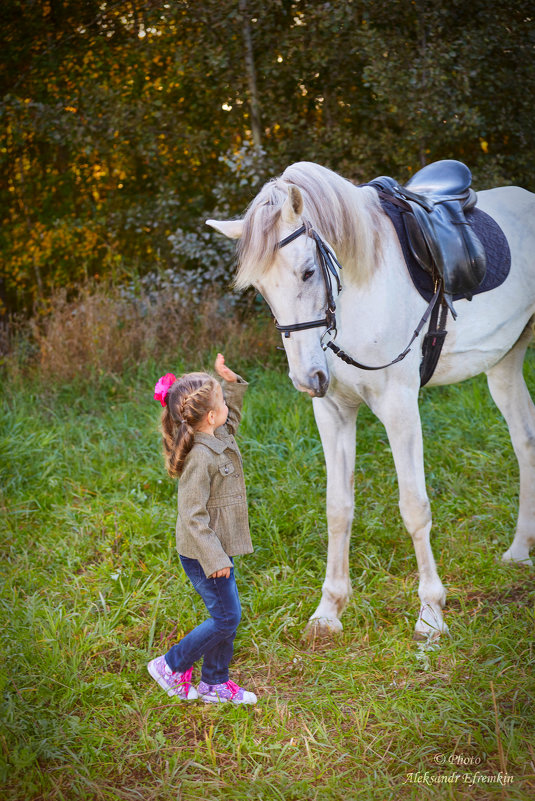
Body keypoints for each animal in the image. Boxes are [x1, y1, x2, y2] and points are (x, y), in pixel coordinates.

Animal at [207, 161, 535, 636]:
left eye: (308, 271)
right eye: (262, 290)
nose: (306, 378)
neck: (357, 298)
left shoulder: (400, 409)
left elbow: (414, 507)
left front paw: (431, 613)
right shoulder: (332, 412)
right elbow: (338, 507)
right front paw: (329, 609)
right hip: (505, 364)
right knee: (525, 439)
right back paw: (520, 548)